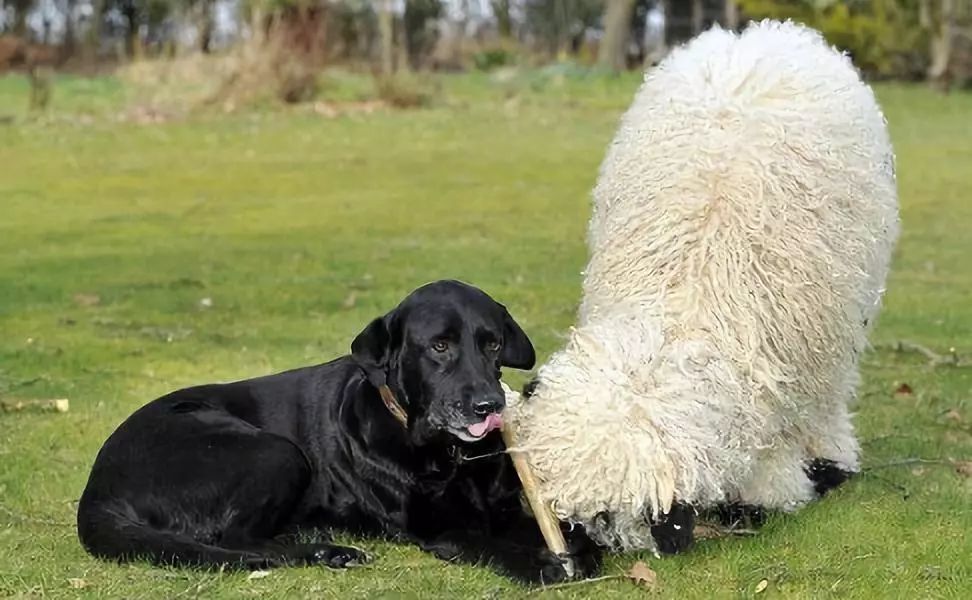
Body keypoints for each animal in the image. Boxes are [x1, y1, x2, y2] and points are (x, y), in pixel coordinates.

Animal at [78, 282, 600, 584]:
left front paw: (580, 549)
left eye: (491, 344)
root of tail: (96, 489)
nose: (488, 405)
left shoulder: (501, 509)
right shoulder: (438, 528)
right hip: (276, 451)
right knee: (238, 539)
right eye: (439, 346)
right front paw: (542, 565)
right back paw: (329, 552)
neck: (448, 456)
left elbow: (567, 532)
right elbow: (492, 545)